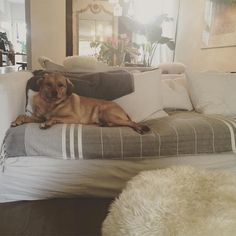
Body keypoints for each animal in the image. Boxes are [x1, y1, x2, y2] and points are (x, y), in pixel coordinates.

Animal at [11, 72, 149, 135]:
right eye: (48, 84)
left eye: (61, 85)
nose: (55, 93)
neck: (51, 104)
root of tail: (122, 109)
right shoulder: (38, 117)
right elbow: (22, 115)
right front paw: (17, 121)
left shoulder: (73, 118)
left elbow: (54, 117)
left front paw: (48, 123)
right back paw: (105, 124)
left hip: (106, 111)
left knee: (131, 122)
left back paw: (140, 128)